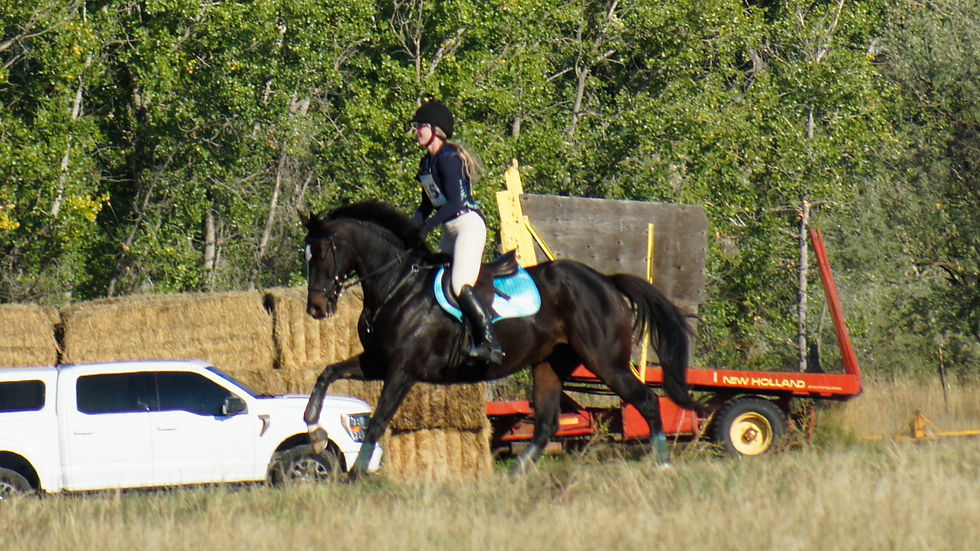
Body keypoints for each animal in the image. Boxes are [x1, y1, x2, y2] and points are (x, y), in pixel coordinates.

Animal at [300, 200, 704, 479]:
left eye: (320, 253)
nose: (316, 309)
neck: (399, 284)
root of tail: (606, 281)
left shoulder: (403, 369)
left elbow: (378, 420)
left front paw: (355, 473)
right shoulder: (378, 362)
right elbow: (327, 372)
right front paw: (312, 423)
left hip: (605, 361)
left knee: (647, 400)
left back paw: (662, 464)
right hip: (550, 364)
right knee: (546, 426)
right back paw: (514, 476)